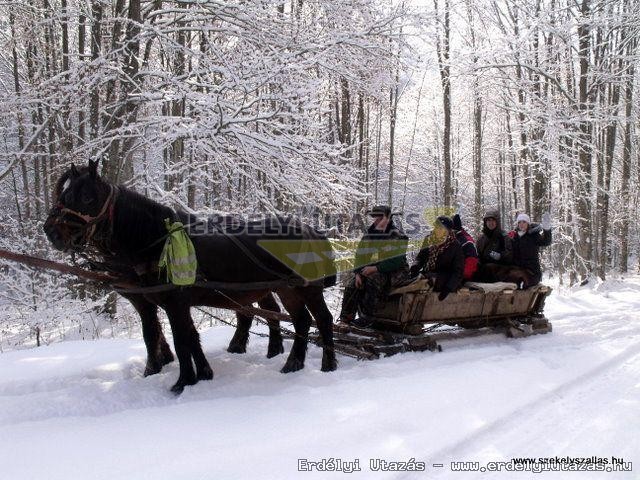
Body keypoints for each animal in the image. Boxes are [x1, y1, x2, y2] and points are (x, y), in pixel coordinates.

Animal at [43, 159, 340, 392]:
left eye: (87, 198)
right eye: (64, 197)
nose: (51, 232)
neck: (157, 242)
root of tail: (313, 231)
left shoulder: (172, 303)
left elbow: (179, 339)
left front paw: (182, 382)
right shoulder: (161, 303)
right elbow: (178, 335)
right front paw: (200, 374)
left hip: (308, 288)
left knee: (322, 320)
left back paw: (328, 364)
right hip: (286, 289)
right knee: (300, 321)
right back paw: (293, 363)